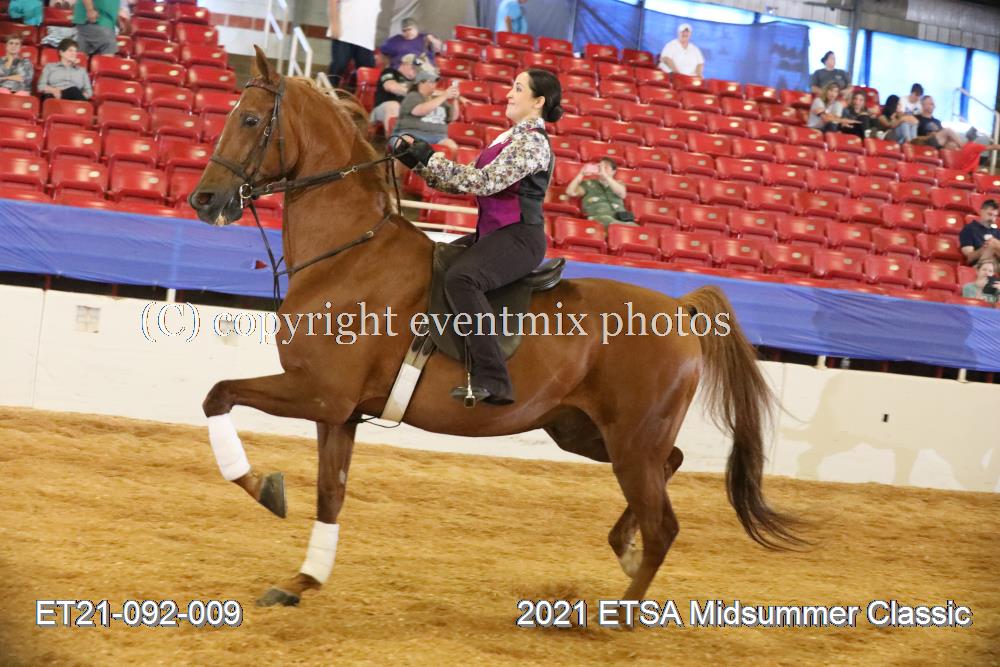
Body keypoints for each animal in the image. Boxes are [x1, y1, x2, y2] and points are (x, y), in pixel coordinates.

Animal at [188, 47, 799, 610]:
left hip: (630, 440)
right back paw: (622, 554)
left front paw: (265, 489)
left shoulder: (319, 392)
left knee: (663, 526)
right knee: (668, 473)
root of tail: (678, 310)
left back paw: (617, 614)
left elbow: (218, 396)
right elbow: (329, 493)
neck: (348, 255)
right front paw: (303, 580)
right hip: (587, 432)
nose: (203, 199)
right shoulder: (339, 413)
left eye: (249, 119)